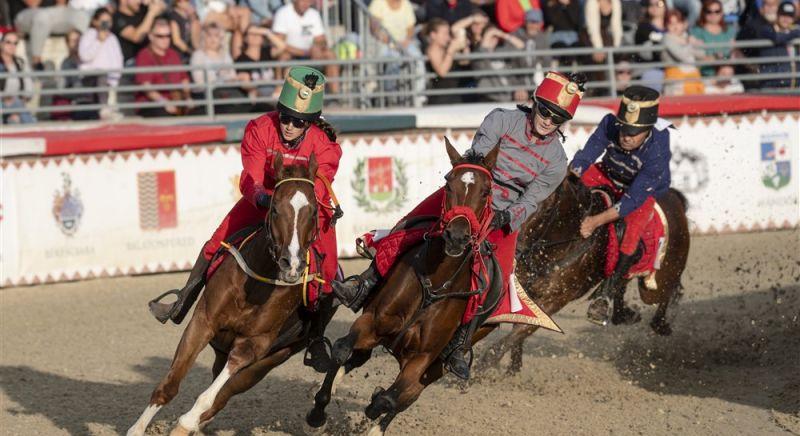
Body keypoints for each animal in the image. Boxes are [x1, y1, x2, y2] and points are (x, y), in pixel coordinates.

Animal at [127, 154, 338, 436]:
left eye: (314, 212)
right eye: (274, 208)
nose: (292, 265)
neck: (254, 287)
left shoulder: (255, 344)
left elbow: (215, 392)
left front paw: (186, 421)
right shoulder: (203, 321)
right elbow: (170, 383)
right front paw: (137, 429)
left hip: (270, 360)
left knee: (223, 394)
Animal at [304, 140, 500, 436]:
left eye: (486, 191)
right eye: (448, 183)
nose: (456, 236)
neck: (435, 284)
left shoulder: (422, 359)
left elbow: (395, 397)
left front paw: (375, 405)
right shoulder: (372, 322)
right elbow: (341, 349)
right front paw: (317, 413)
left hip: (439, 365)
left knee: (409, 394)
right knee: (358, 358)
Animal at [476, 175, 688, 374]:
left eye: (546, 209)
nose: (515, 248)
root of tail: (675, 198)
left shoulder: (555, 300)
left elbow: (520, 330)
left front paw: (482, 369)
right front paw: (513, 368)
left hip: (657, 283)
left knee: (666, 292)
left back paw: (660, 322)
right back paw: (624, 314)